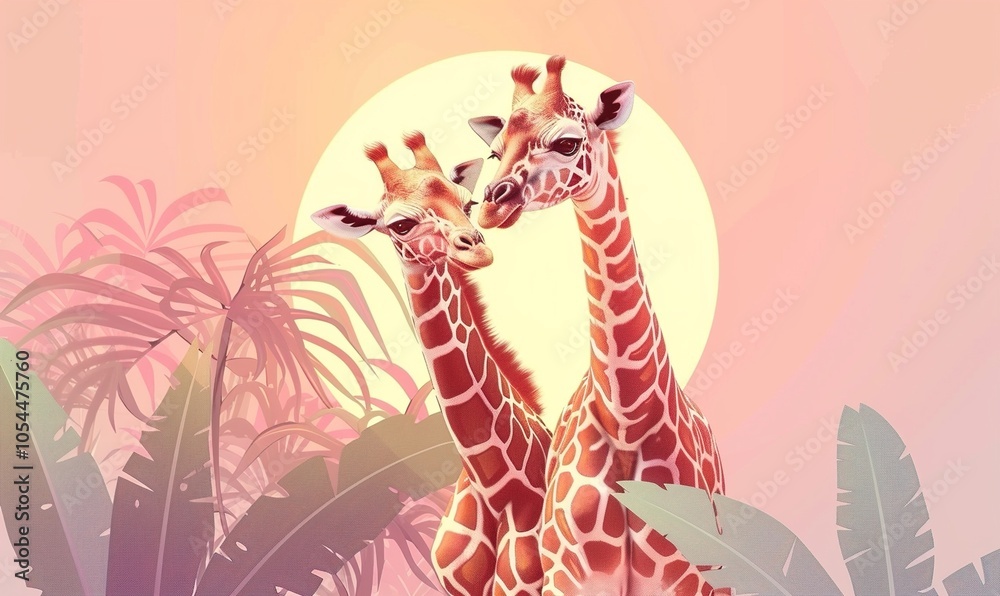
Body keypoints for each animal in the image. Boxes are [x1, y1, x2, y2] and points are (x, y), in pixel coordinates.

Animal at [466, 56, 727, 596]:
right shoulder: (569, 578)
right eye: (494, 151)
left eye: (567, 143)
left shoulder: (685, 582)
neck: (626, 416)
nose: (493, 203)